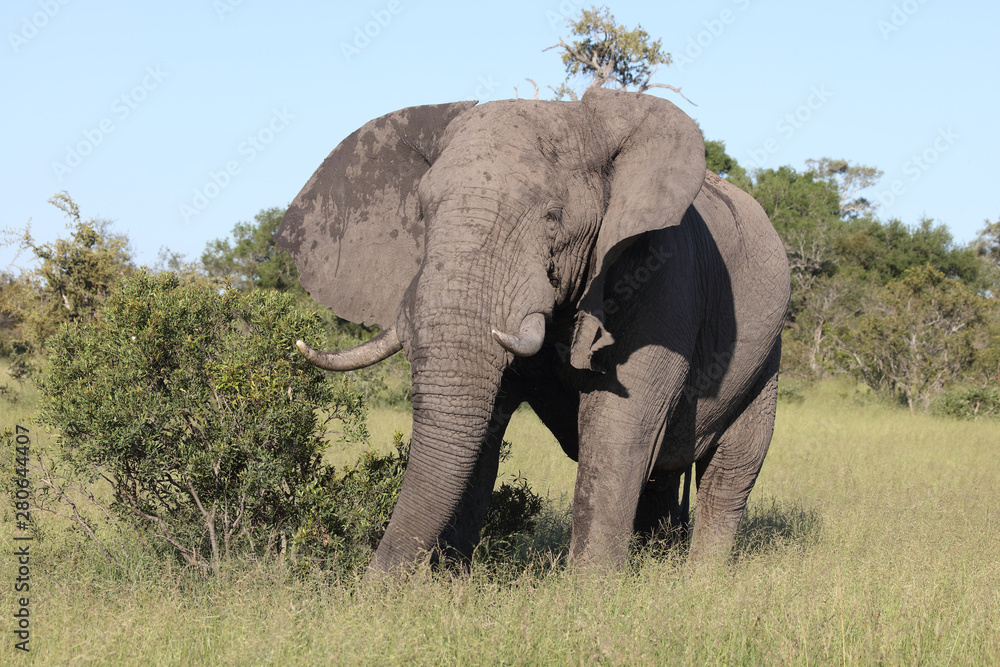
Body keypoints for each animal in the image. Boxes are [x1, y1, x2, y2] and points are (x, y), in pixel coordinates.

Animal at [275, 87, 790, 575]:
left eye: (552, 218)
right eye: (422, 215)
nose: (370, 589)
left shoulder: (664, 273)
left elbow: (618, 426)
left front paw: (591, 595)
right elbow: (481, 436)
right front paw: (446, 586)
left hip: (767, 355)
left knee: (730, 470)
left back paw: (700, 579)